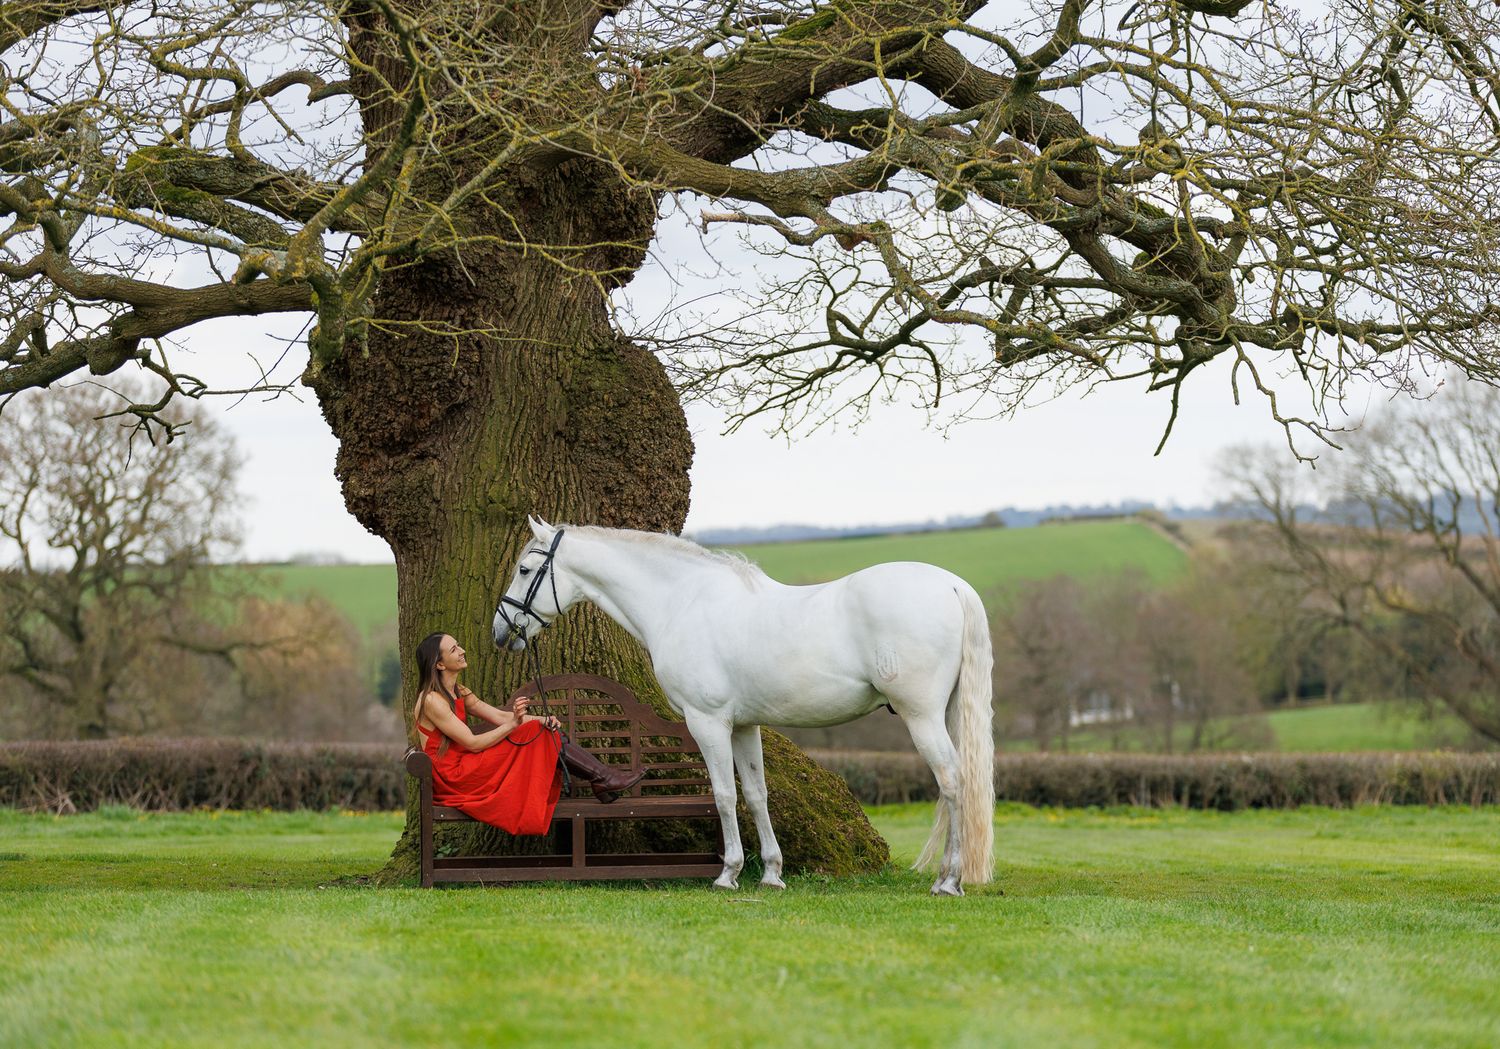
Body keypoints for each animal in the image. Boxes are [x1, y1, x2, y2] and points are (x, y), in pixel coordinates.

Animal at [493, 517, 994, 896]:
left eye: (524, 569)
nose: (501, 631)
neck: (682, 602)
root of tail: (953, 586)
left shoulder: (708, 722)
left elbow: (723, 795)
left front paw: (728, 873)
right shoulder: (743, 726)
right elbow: (756, 794)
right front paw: (772, 873)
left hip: (921, 716)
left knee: (953, 781)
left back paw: (948, 880)